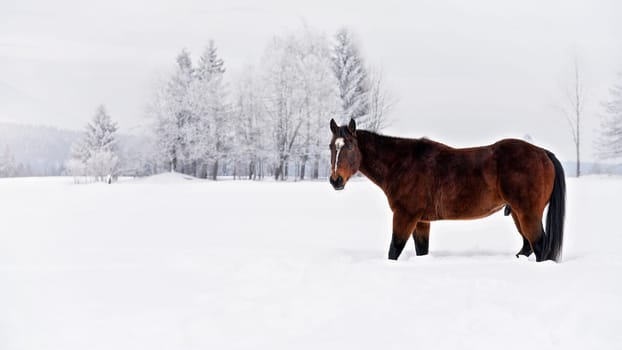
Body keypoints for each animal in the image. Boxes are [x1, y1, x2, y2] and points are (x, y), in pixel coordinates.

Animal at [330, 119, 568, 262]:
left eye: (349, 146)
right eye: (332, 146)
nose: (335, 180)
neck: (402, 163)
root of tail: (543, 153)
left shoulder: (405, 216)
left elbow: (394, 250)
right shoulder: (421, 221)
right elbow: (421, 251)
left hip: (527, 214)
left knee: (539, 246)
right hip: (518, 215)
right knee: (528, 247)